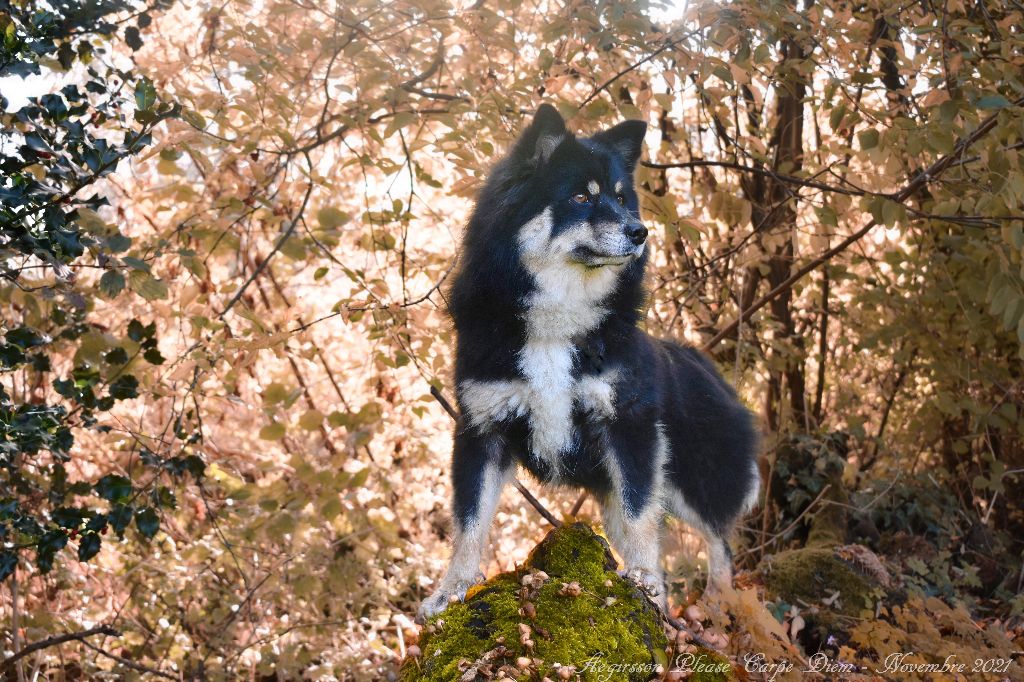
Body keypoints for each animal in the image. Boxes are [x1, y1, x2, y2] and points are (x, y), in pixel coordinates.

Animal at [417, 103, 761, 618]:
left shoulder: (630, 429)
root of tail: (709, 369)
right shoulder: (482, 429)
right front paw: (452, 589)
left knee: (719, 544)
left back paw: (716, 608)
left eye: (620, 198)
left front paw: (645, 583)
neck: (557, 324)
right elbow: (470, 521)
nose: (640, 232)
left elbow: (641, 516)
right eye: (581, 197)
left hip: (693, 481)